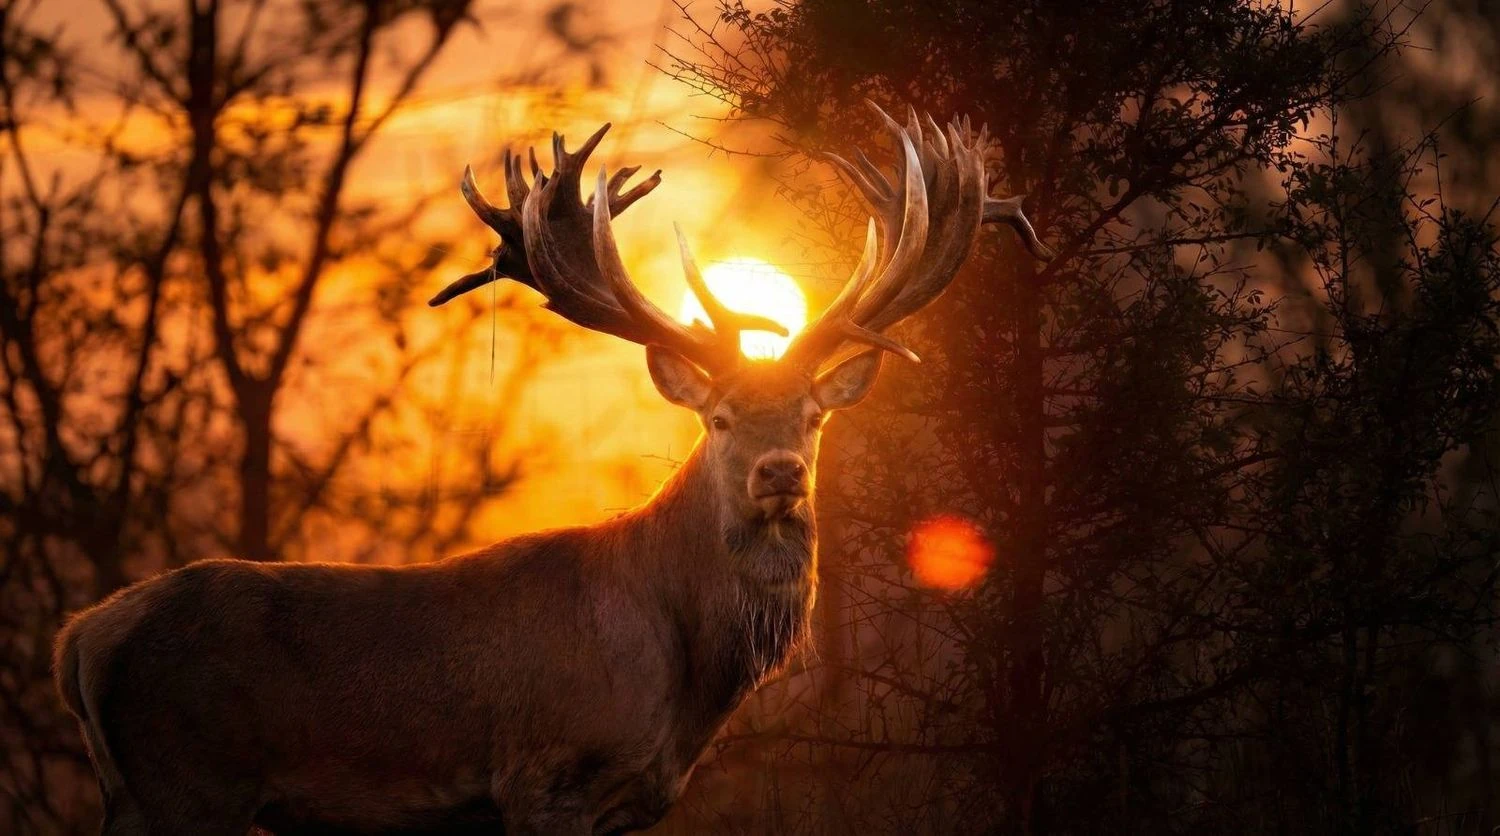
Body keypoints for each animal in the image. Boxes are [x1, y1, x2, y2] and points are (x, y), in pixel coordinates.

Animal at [53, 102, 1052, 836]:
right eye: (720, 416)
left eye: (814, 417)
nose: (777, 472)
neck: (683, 677)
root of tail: (80, 640)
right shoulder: (547, 775)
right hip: (188, 782)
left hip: (142, 793)